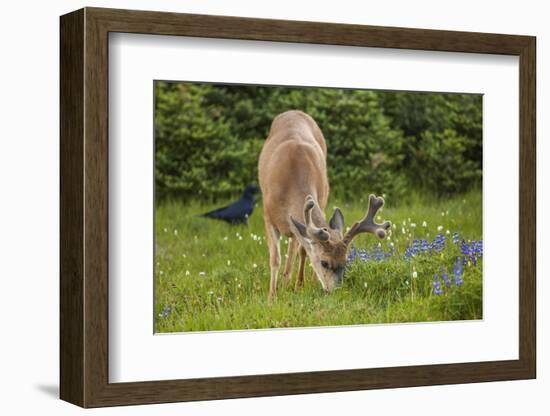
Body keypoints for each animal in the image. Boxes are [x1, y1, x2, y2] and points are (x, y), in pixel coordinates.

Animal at [258, 109, 392, 300]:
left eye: (346, 261)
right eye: (324, 263)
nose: (335, 291)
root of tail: (294, 111)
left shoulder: (318, 202)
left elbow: (303, 250)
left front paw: (301, 286)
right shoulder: (268, 215)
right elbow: (275, 258)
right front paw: (272, 297)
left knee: (296, 246)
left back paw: (293, 282)